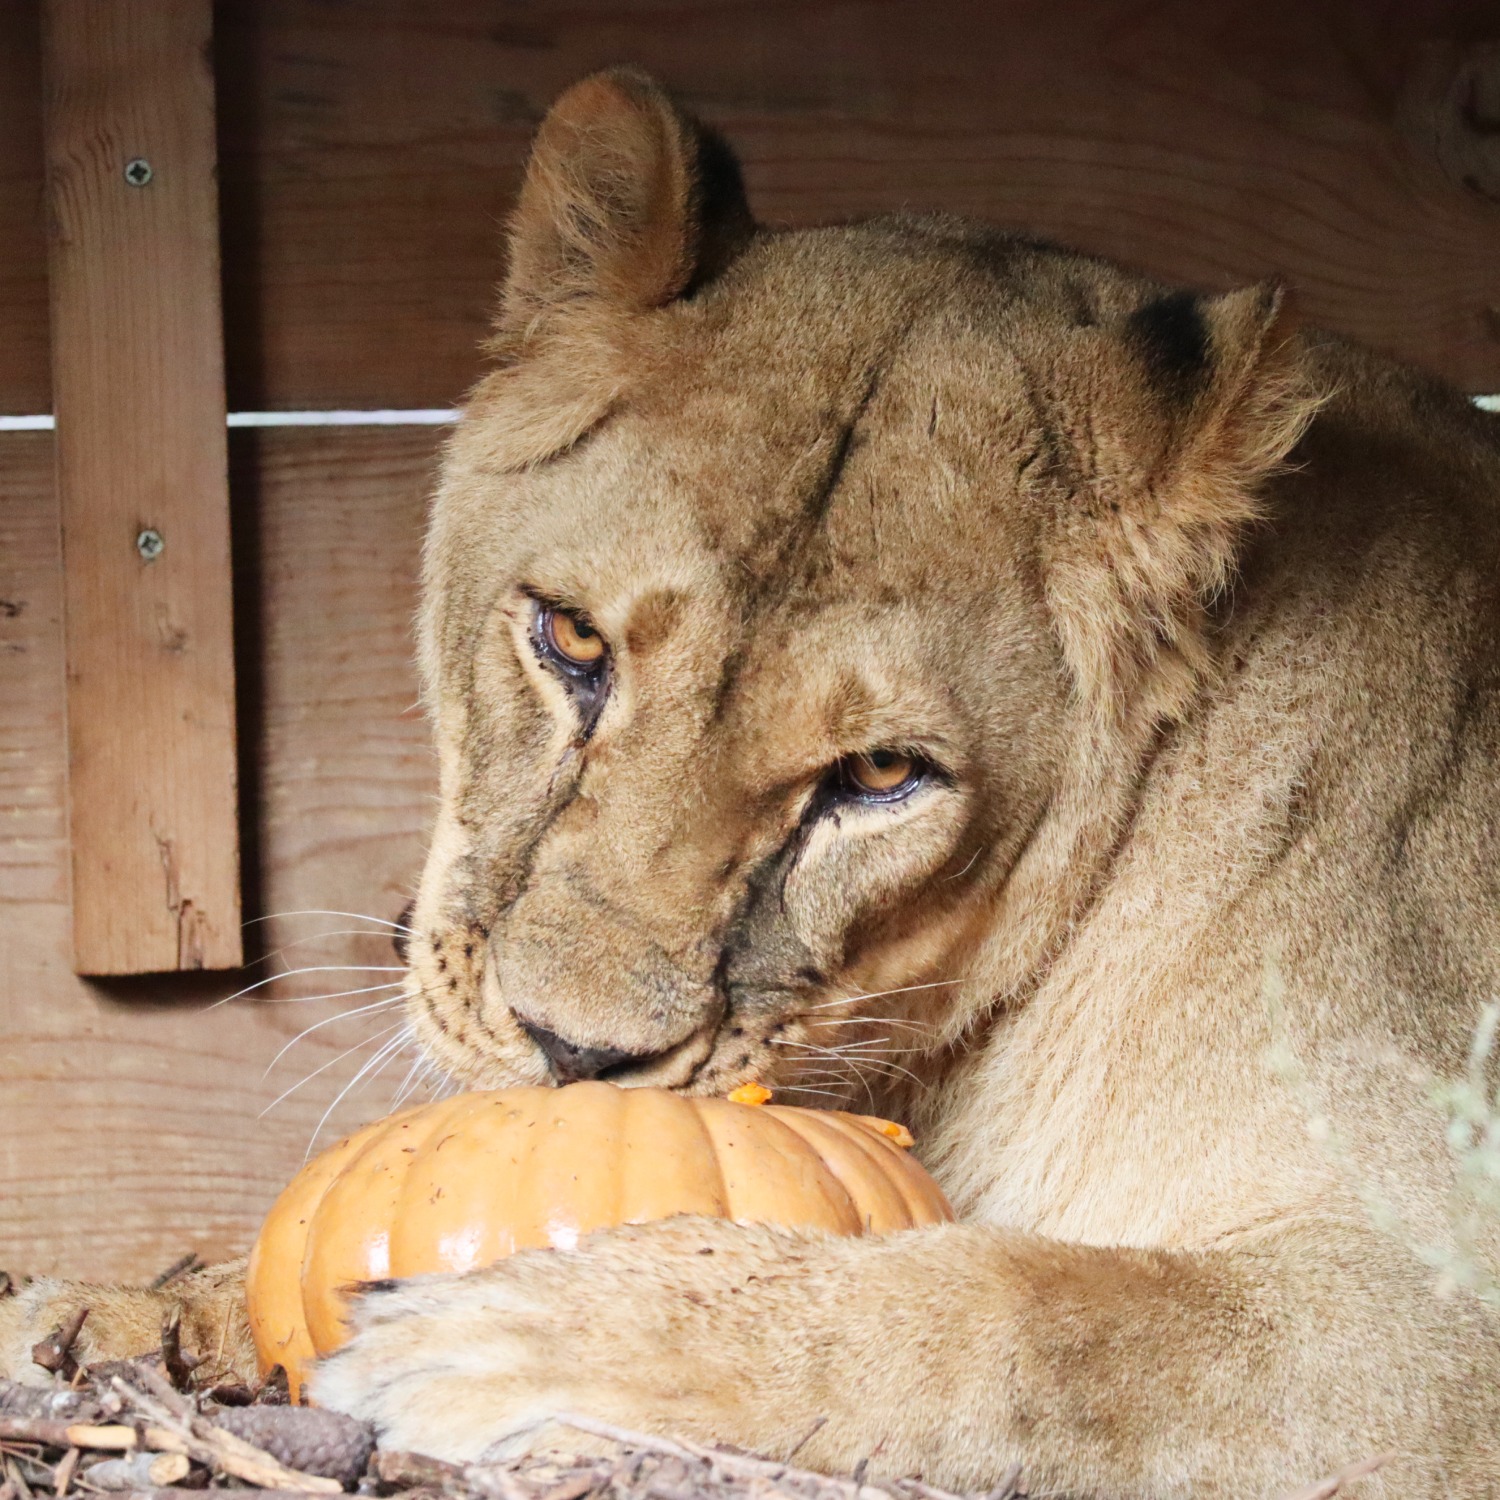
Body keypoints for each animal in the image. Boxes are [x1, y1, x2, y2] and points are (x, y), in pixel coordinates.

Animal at [5, 69, 1500, 1498]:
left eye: (882, 774)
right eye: (572, 639)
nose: (579, 1058)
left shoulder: (1437, 1309)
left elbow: (1036, 1313)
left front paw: (521, 1330)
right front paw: (125, 1310)